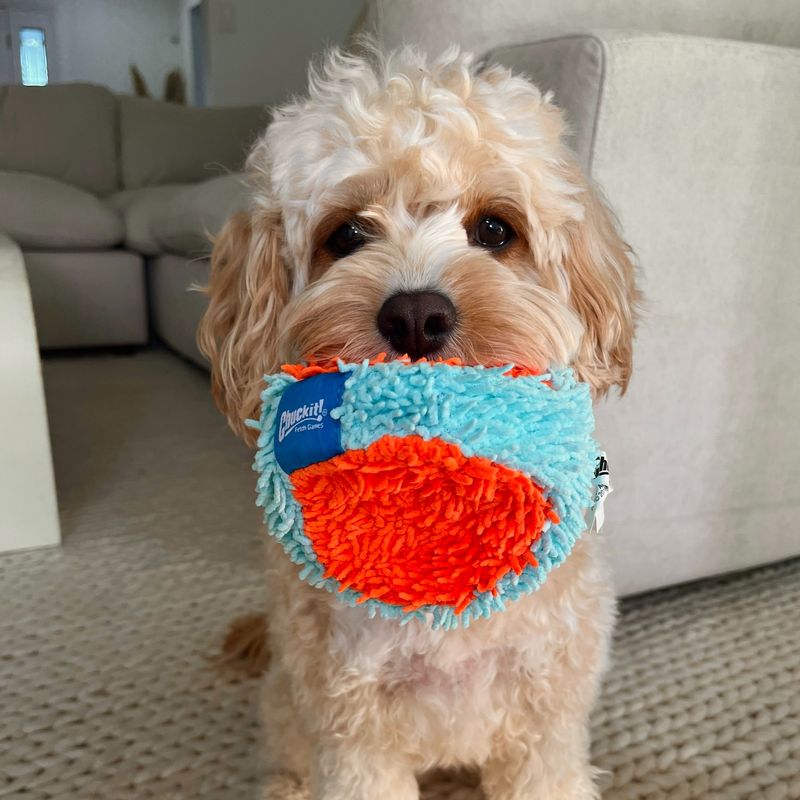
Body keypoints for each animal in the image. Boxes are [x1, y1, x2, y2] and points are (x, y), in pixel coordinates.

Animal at [198, 45, 636, 800]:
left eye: (494, 229)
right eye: (346, 234)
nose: (415, 316)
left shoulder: (546, 726)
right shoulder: (354, 734)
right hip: (289, 703)